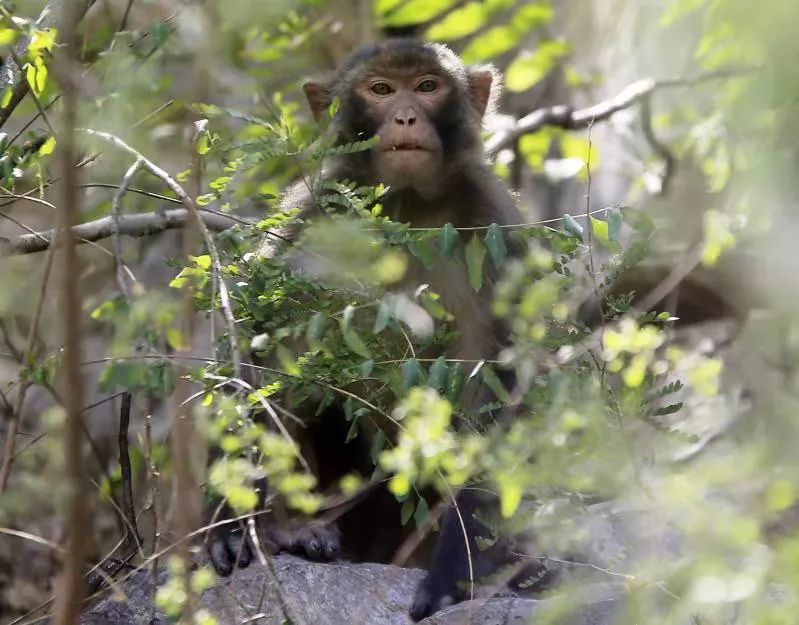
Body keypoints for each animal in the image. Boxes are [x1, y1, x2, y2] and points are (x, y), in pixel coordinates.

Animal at [206, 40, 536, 620]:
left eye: (427, 87)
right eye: (381, 90)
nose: (405, 116)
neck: (406, 205)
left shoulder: (496, 228)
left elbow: (497, 396)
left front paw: (456, 572)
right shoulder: (313, 215)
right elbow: (259, 350)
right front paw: (231, 520)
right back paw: (295, 531)